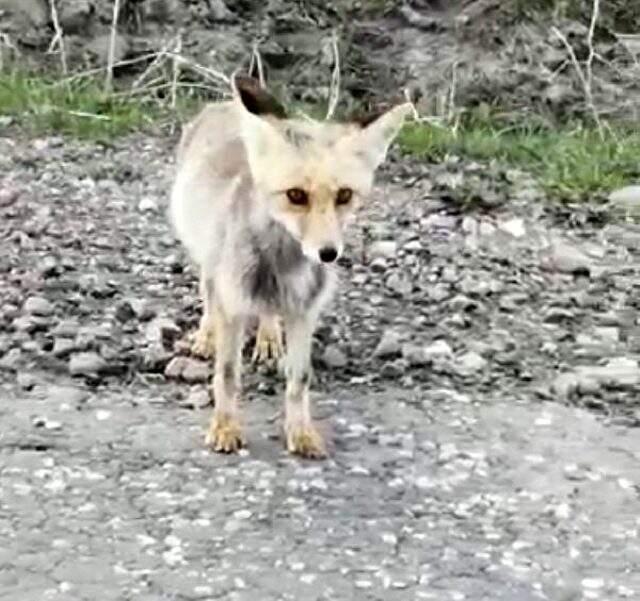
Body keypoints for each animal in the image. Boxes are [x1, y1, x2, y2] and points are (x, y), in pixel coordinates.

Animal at [168, 76, 412, 460]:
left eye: (344, 195)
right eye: (296, 195)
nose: (328, 253)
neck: (280, 268)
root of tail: (223, 103)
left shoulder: (304, 312)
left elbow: (299, 380)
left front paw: (300, 432)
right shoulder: (232, 304)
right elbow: (227, 376)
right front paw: (225, 428)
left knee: (267, 314)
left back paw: (268, 337)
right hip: (205, 253)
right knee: (207, 291)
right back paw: (206, 336)